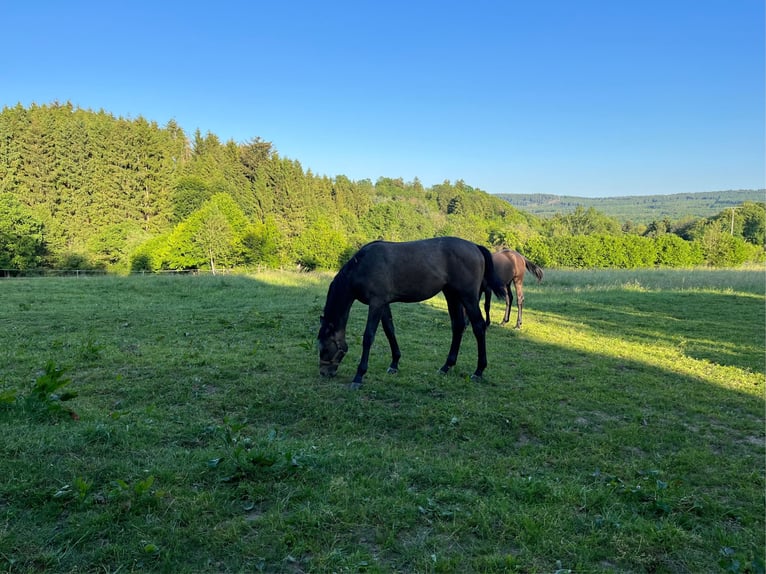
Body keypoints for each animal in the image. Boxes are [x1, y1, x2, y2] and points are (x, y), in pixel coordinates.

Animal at [320, 236, 508, 390]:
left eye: (324, 348)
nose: (324, 373)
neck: (362, 264)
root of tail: (476, 247)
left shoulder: (376, 303)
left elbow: (368, 337)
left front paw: (359, 376)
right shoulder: (384, 304)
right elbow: (389, 331)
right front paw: (394, 364)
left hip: (468, 297)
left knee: (478, 326)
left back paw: (479, 371)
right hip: (452, 295)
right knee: (458, 326)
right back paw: (446, 366)